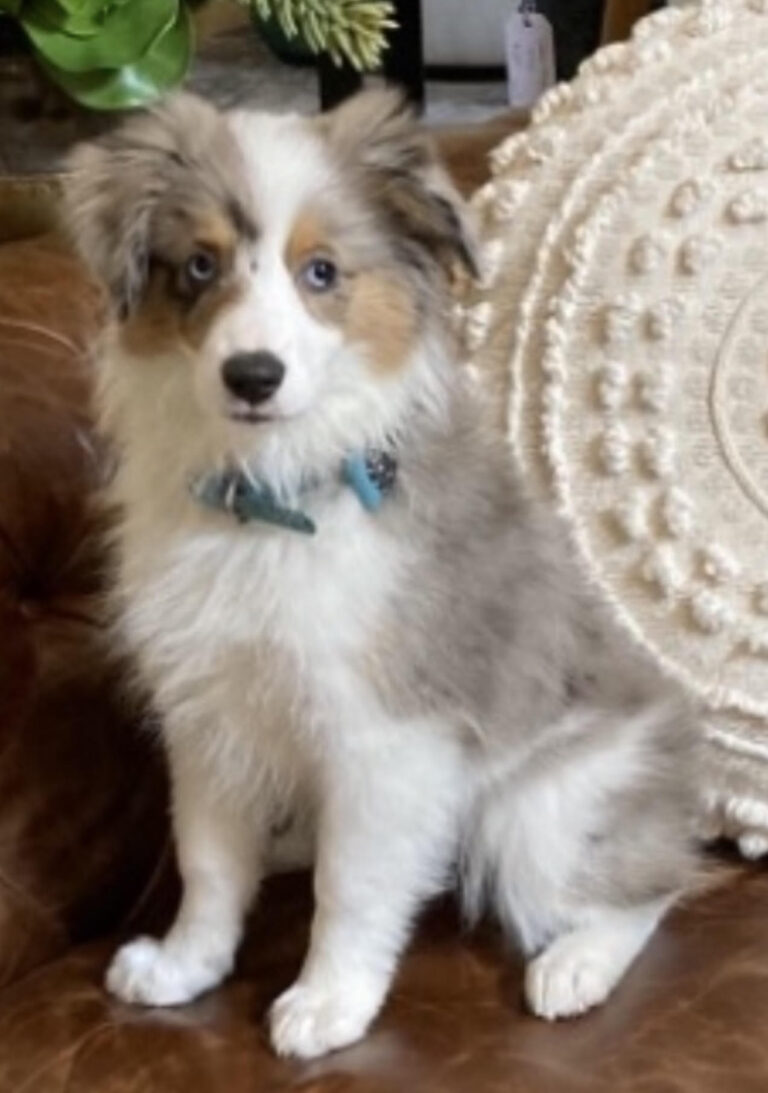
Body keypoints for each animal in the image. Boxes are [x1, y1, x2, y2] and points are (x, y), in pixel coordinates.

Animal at [63, 89, 701, 1059]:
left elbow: (353, 884)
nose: (253, 375)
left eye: (322, 271)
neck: (272, 504)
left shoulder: (384, 734)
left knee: (648, 883)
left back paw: (576, 965)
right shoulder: (208, 709)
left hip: (537, 813)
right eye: (199, 265)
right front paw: (185, 964)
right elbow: (207, 859)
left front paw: (329, 1002)